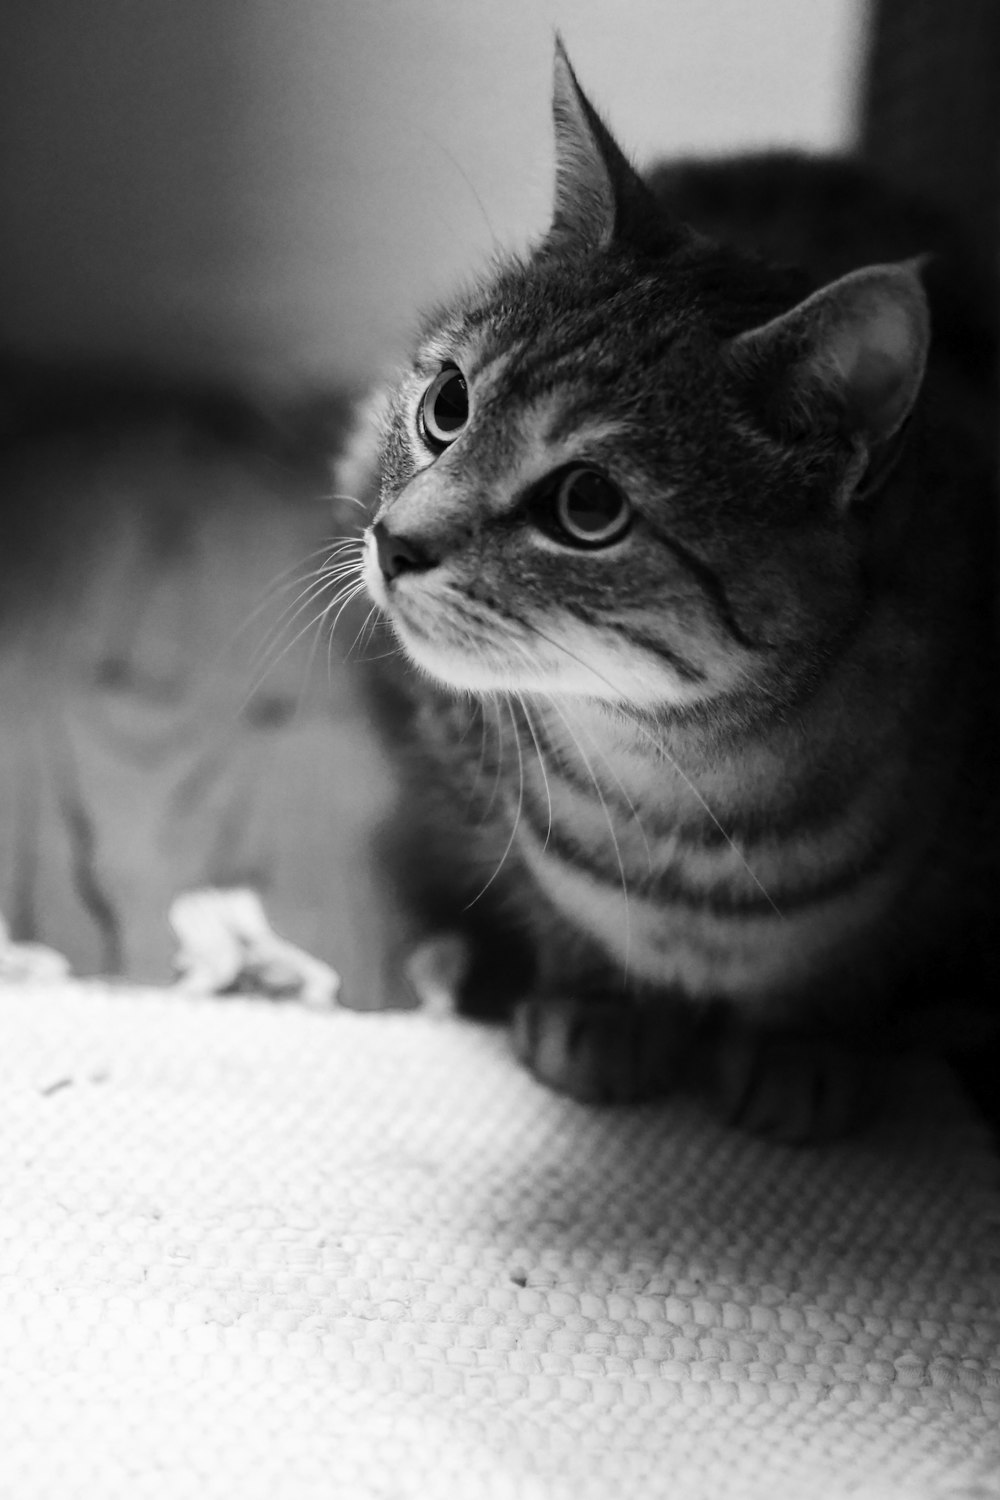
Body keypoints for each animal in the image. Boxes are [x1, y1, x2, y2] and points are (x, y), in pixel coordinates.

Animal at [335, 41, 1000, 1140]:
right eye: (447, 404)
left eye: (588, 504)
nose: (395, 541)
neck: (682, 784)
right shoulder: (456, 758)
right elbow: (549, 897)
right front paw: (600, 1004)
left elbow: (862, 955)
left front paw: (804, 1042)